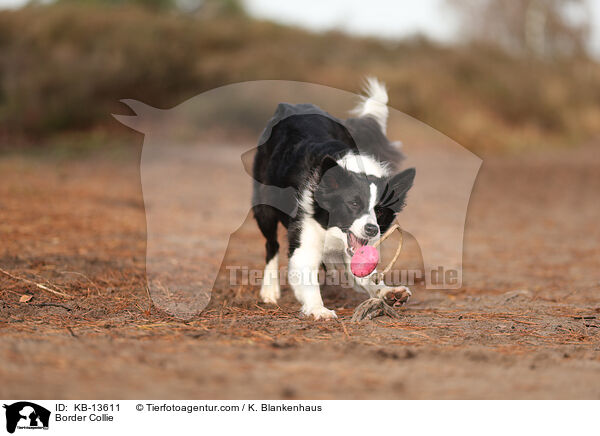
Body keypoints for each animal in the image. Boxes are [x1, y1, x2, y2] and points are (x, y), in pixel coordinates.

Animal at [251, 78, 414, 318]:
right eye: (353, 204)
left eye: (380, 211)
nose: (371, 229)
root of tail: (291, 105)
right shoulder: (304, 236)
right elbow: (306, 274)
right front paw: (319, 308)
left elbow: (364, 274)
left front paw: (387, 292)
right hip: (264, 206)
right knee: (271, 244)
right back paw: (269, 290)